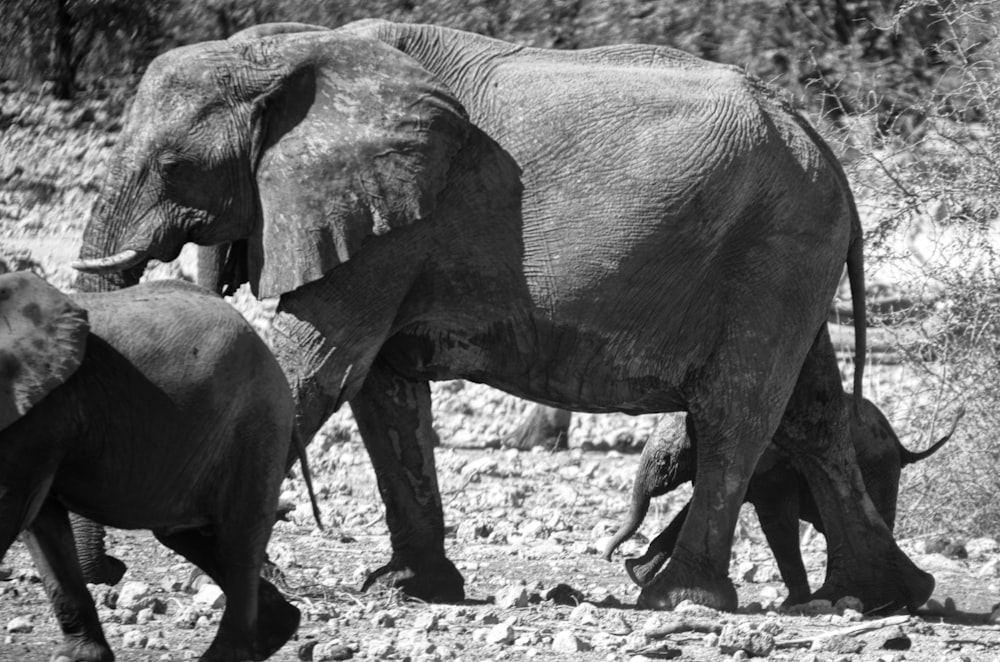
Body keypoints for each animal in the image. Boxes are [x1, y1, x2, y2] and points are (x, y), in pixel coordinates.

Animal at [1, 274, 302, 662]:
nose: (116, 568)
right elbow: (41, 523)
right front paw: (78, 659)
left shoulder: (37, 416)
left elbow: (12, 510)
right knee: (191, 536)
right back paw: (279, 627)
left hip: (257, 424)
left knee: (238, 539)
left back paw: (227, 654)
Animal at [604, 400, 956, 608]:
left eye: (664, 461)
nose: (609, 555)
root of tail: (900, 443)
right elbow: (692, 510)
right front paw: (637, 574)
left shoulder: (774, 464)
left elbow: (775, 521)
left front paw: (791, 606)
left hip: (877, 466)